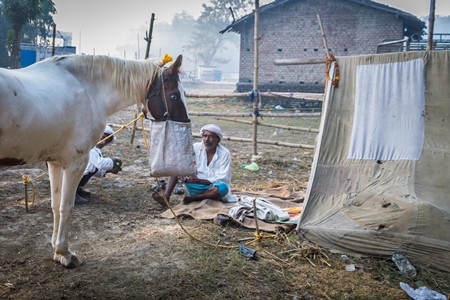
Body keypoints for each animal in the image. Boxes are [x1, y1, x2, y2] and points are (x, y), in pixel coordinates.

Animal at [0, 53, 190, 268]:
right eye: (174, 96)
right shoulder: (76, 162)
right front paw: (65, 253)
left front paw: (56, 250)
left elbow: (56, 205)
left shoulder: (55, 162)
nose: (185, 125)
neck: (87, 89)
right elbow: (67, 207)